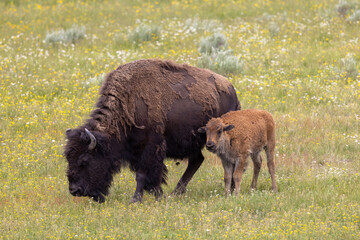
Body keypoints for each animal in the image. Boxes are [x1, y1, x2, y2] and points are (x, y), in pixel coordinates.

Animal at [64, 58, 242, 202]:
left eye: (84, 161)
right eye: (68, 159)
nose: (74, 190)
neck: (128, 106)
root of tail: (231, 89)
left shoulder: (150, 147)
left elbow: (143, 174)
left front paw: (136, 199)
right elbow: (152, 176)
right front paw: (159, 195)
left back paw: (231, 189)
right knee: (197, 160)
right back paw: (175, 193)